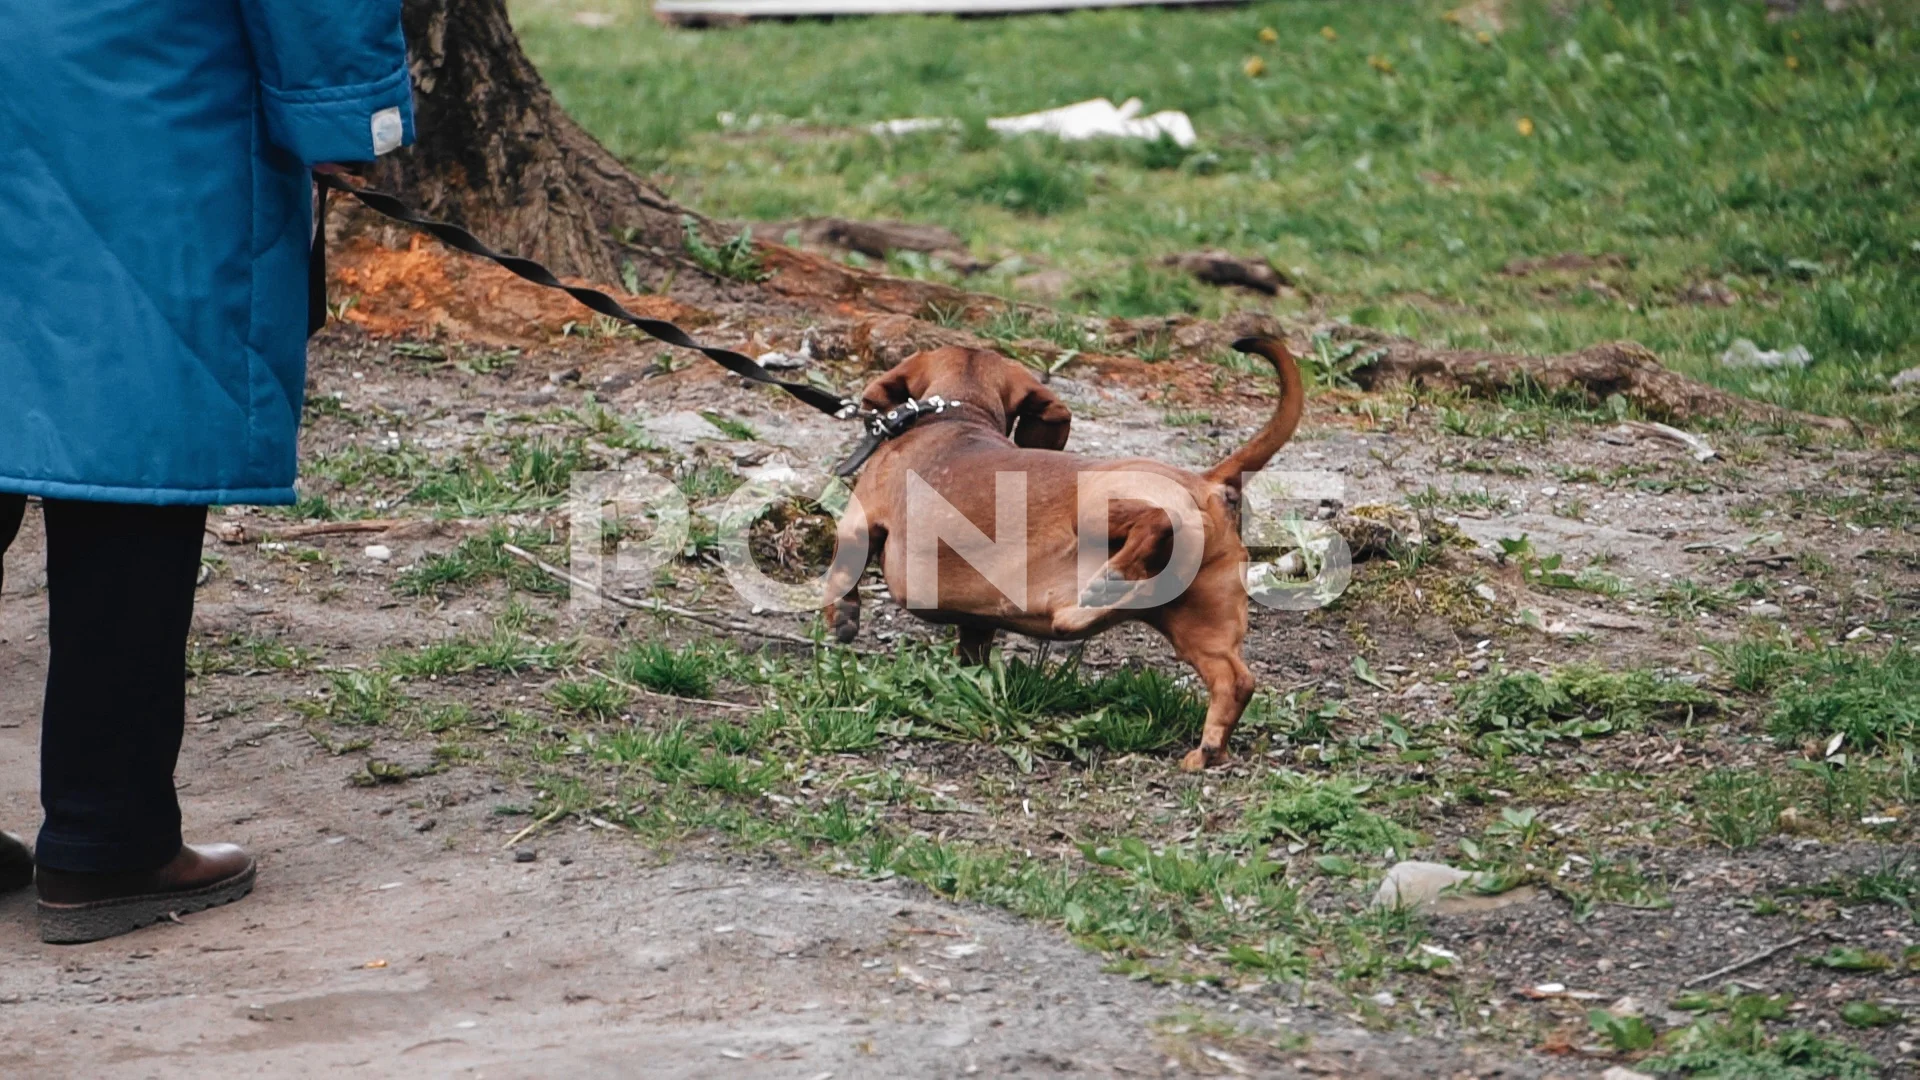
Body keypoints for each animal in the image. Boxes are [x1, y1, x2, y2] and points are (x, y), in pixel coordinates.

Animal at [825, 336, 1305, 764]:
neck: (957, 416)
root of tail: (1205, 483)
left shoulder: (860, 519)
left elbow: (843, 570)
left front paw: (843, 617)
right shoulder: (975, 623)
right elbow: (973, 643)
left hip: (1094, 506)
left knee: (1157, 523)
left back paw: (1107, 583)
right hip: (1196, 622)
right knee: (1235, 680)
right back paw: (1206, 750)